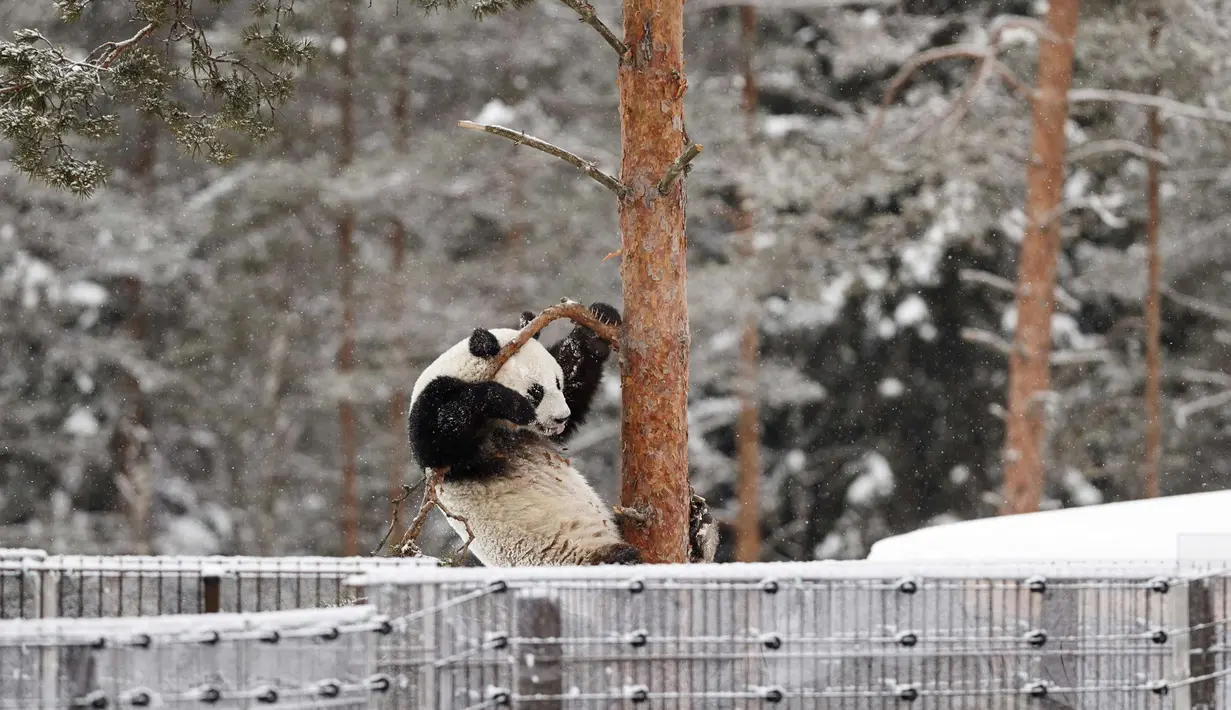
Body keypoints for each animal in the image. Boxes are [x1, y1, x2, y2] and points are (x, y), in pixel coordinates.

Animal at [407, 302, 641, 567]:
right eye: (535, 391)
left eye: (558, 383)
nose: (561, 418)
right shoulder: (431, 405)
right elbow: (439, 440)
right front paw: (511, 403)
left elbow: (573, 372)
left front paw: (599, 322)